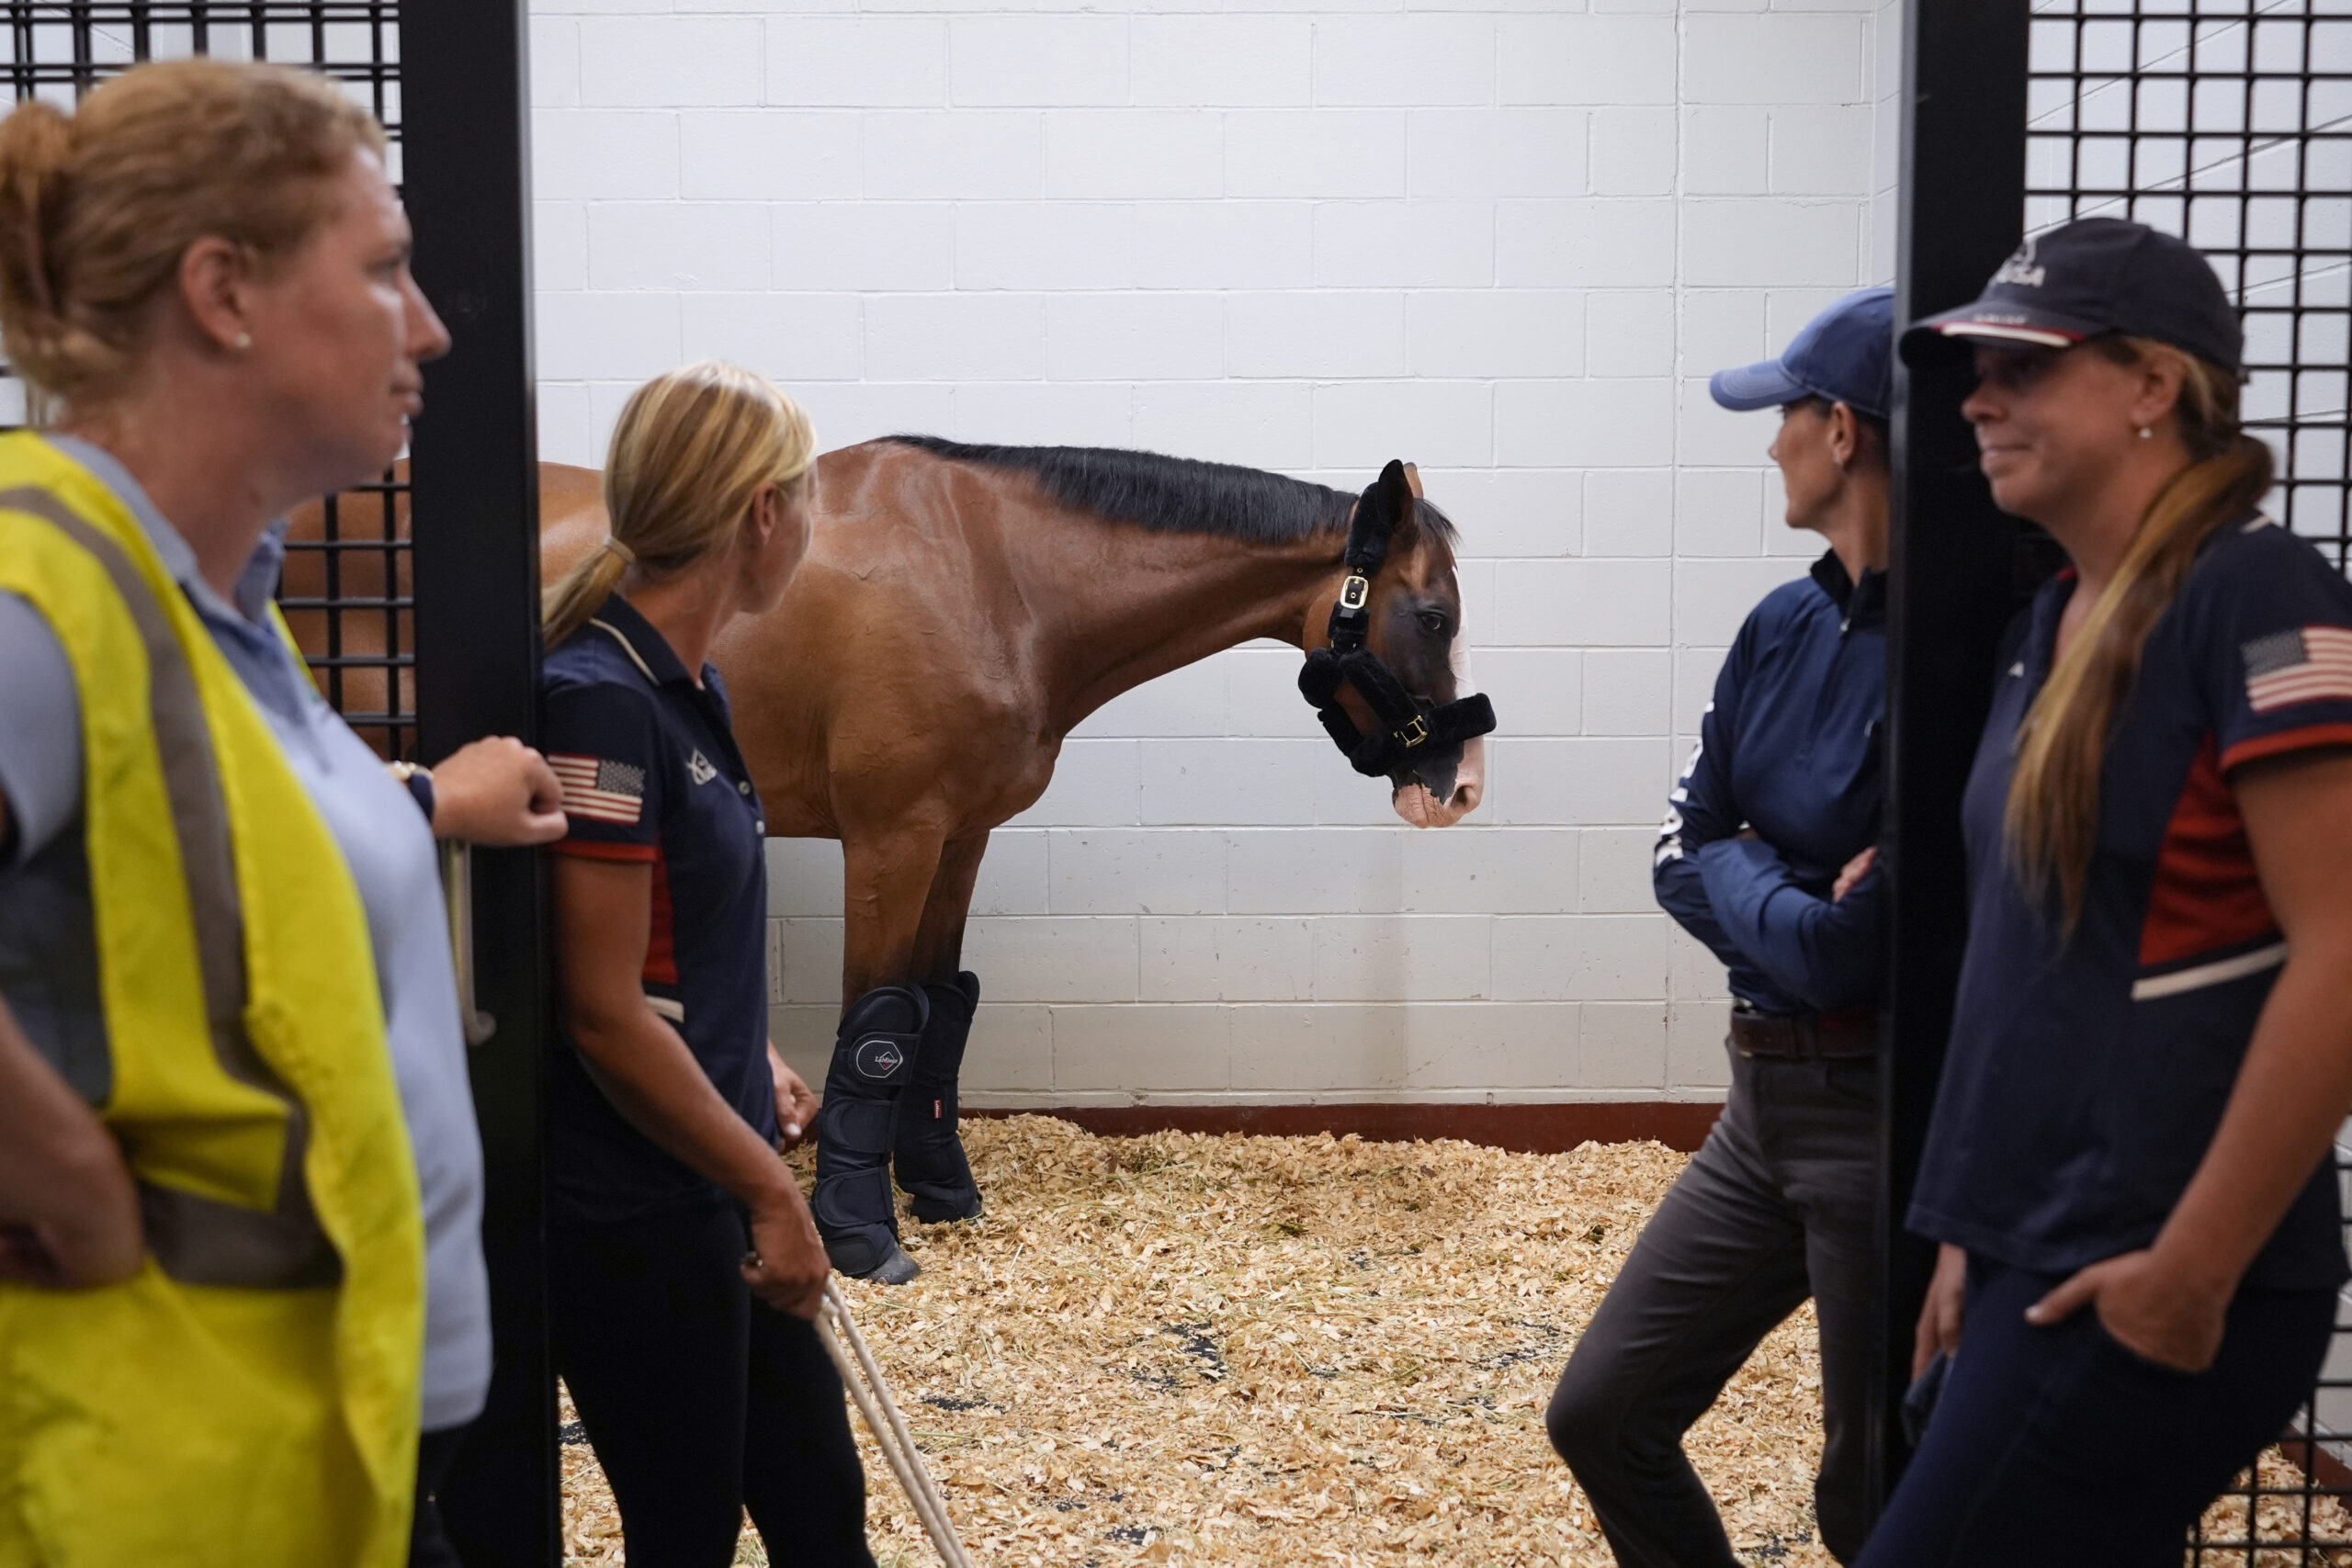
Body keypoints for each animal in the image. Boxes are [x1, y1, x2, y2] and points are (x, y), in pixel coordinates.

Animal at [284, 439, 1476, 1279]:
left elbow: (934, 1009)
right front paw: (856, 1229)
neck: (996, 580)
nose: (1456, 789)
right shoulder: (891, 836)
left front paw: (939, 1188)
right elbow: (875, 1022)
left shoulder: (960, 833)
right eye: (1432, 612)